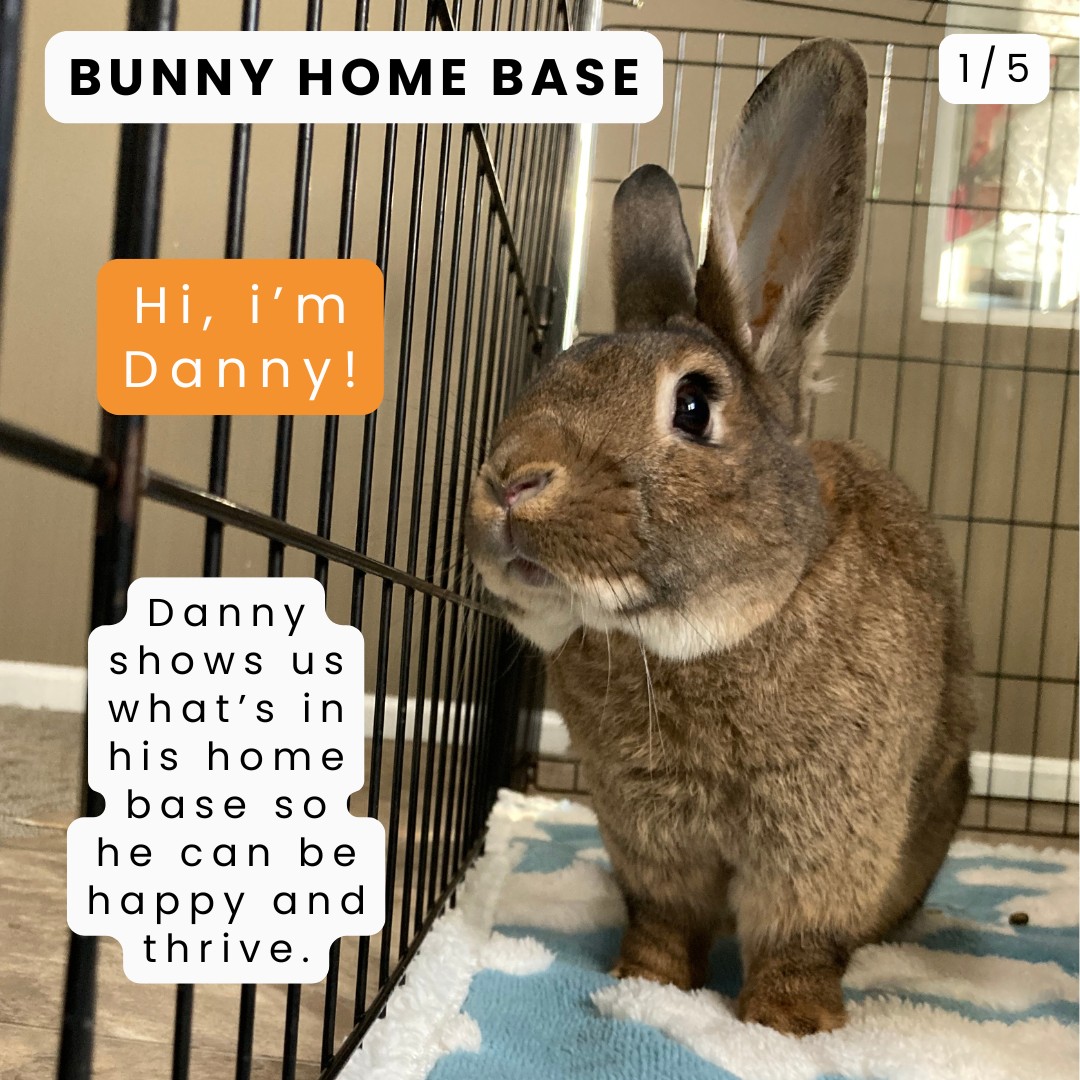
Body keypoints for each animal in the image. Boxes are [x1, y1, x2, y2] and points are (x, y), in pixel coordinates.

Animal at [465, 38, 976, 1037]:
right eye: (557, 367)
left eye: (695, 406)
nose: (511, 483)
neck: (693, 645)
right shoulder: (647, 831)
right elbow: (665, 919)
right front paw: (644, 990)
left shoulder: (825, 833)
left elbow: (798, 940)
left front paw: (786, 1027)